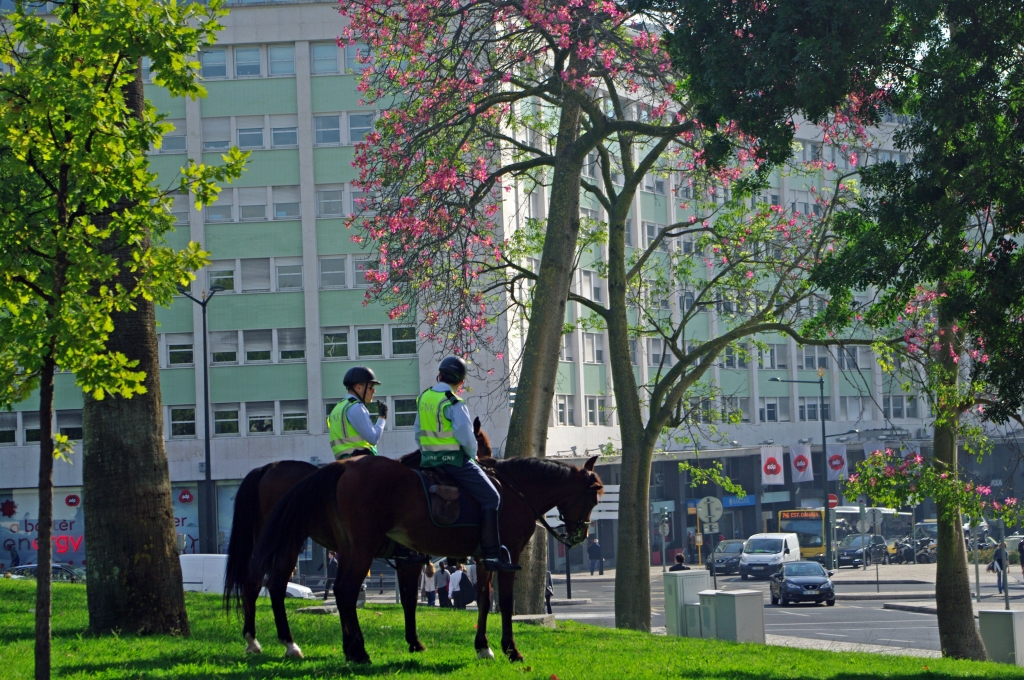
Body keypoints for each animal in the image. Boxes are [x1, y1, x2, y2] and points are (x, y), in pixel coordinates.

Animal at [222, 419, 494, 657]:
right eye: (483, 445)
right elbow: (409, 599)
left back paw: (253, 641)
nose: (488, 466)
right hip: (289, 542)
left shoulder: (402, 559)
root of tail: (266, 468)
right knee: (277, 585)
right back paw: (291, 644)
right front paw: (413, 642)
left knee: (253, 582)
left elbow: (406, 599)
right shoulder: (412, 559)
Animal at [250, 452, 602, 664]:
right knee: (337, 590)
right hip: (345, 546)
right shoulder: (507, 556)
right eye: (594, 496)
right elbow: (504, 603)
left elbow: (483, 600)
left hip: (346, 547)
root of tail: (345, 467)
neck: (515, 492)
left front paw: (483, 646)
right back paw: (355, 651)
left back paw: (338, 648)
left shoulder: (482, 559)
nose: (580, 535)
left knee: (324, 590)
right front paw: (511, 650)